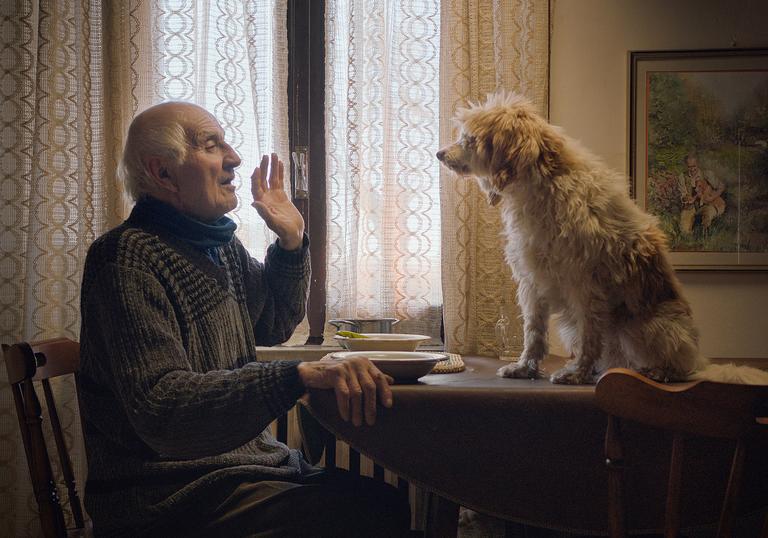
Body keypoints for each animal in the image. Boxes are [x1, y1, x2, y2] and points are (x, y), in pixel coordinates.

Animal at [438, 92, 768, 386]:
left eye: (469, 139)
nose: (440, 153)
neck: (544, 186)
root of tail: (698, 362)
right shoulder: (532, 281)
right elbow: (533, 332)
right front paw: (525, 368)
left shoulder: (585, 284)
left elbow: (590, 335)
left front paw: (577, 374)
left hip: (649, 328)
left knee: (671, 366)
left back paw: (657, 371)